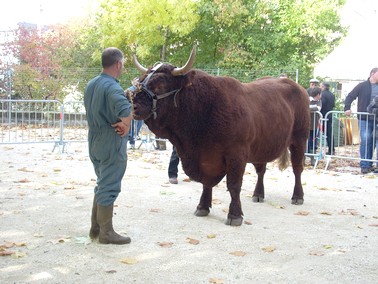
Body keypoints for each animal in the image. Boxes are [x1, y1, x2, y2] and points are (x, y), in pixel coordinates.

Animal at [131, 46, 308, 226]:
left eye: (160, 85)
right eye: (140, 81)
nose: (133, 104)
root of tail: (296, 85)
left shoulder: (237, 154)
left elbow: (234, 185)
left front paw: (235, 214)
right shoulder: (207, 156)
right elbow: (206, 182)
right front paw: (203, 206)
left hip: (300, 139)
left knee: (297, 168)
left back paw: (298, 196)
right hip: (263, 145)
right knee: (261, 170)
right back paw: (258, 194)